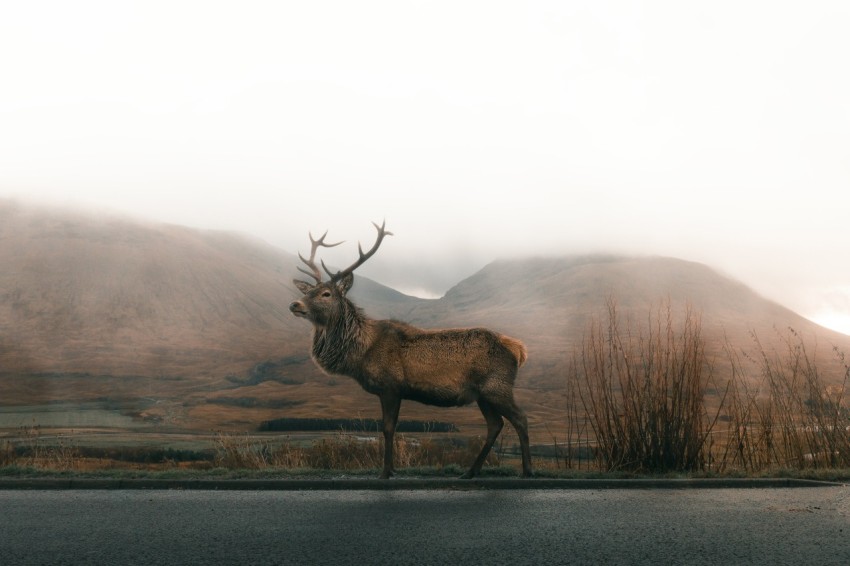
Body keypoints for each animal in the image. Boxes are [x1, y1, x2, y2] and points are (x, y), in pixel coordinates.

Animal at [288, 222, 532, 480]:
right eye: (307, 291)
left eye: (326, 294)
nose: (295, 304)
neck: (360, 353)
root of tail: (518, 349)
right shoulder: (393, 391)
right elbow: (391, 429)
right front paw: (393, 468)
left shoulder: (390, 386)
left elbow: (387, 428)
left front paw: (385, 472)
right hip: (482, 394)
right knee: (495, 424)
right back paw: (470, 472)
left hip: (497, 386)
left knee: (520, 418)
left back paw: (527, 470)